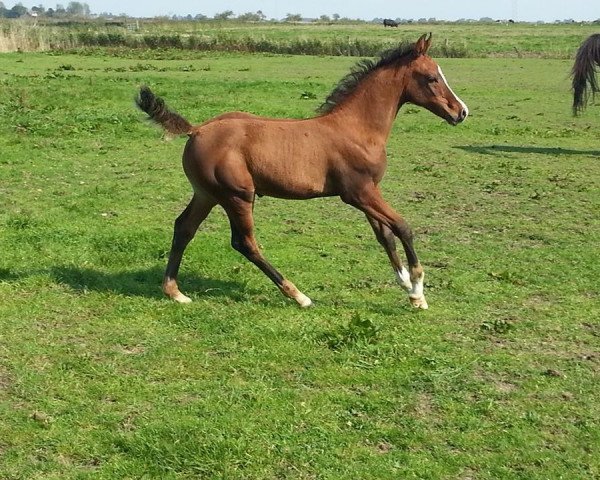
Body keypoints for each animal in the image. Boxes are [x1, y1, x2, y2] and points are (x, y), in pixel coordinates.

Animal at [136, 34, 468, 312]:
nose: (461, 112)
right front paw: (419, 289)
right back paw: (298, 295)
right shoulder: (358, 192)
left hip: (207, 194)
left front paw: (407, 288)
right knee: (244, 243)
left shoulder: (369, 191)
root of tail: (197, 130)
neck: (357, 128)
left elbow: (384, 235)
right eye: (432, 78)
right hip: (237, 195)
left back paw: (174, 292)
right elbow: (402, 227)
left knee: (184, 228)